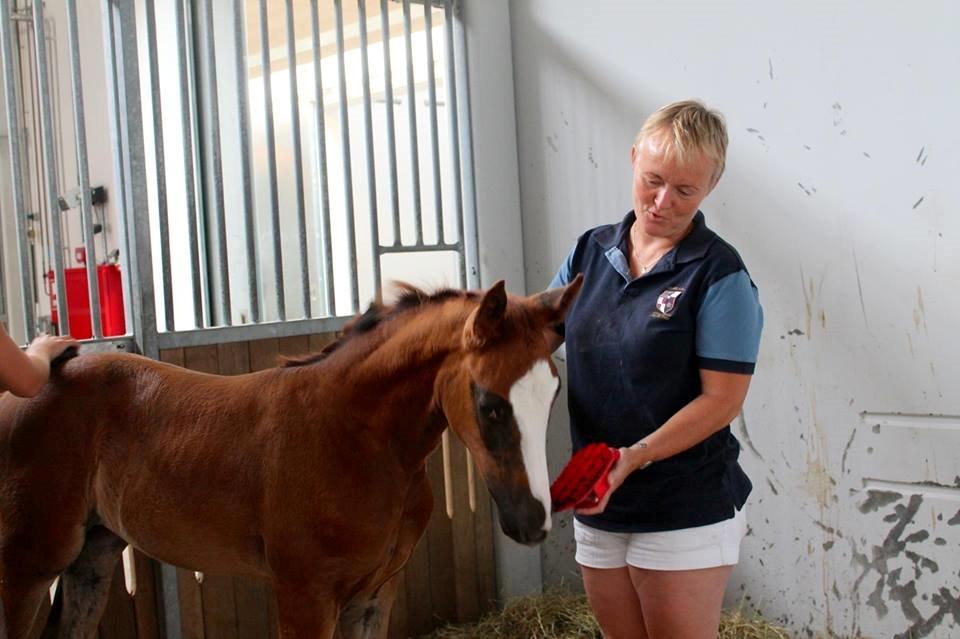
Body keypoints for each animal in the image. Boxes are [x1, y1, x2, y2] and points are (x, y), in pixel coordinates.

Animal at [0, 278, 580, 639]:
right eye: (489, 403)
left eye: (553, 393)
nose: (533, 522)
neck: (352, 437)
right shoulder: (305, 595)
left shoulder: (375, 595)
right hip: (26, 567)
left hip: (92, 557)